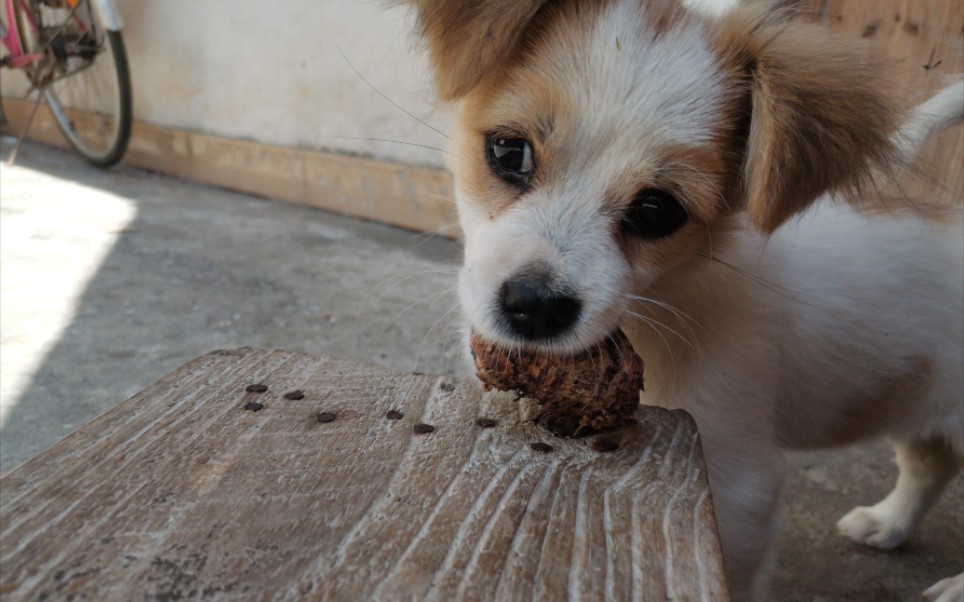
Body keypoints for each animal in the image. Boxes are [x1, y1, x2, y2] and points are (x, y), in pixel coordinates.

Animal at [402, 2, 964, 596]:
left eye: (657, 210)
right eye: (509, 151)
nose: (536, 308)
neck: (664, 303)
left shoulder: (739, 478)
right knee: (930, 466)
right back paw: (888, 523)